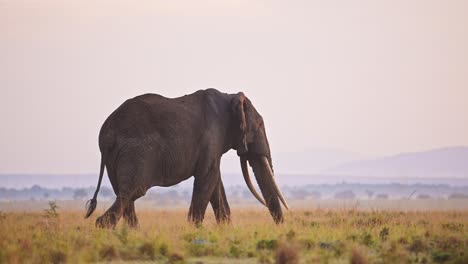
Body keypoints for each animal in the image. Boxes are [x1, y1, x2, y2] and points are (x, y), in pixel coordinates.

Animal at [85, 88, 288, 227]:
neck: (229, 96)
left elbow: (215, 184)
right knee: (131, 192)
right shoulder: (212, 135)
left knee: (125, 196)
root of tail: (105, 133)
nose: (280, 228)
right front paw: (193, 230)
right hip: (135, 153)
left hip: (115, 159)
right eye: (259, 126)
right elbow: (208, 178)